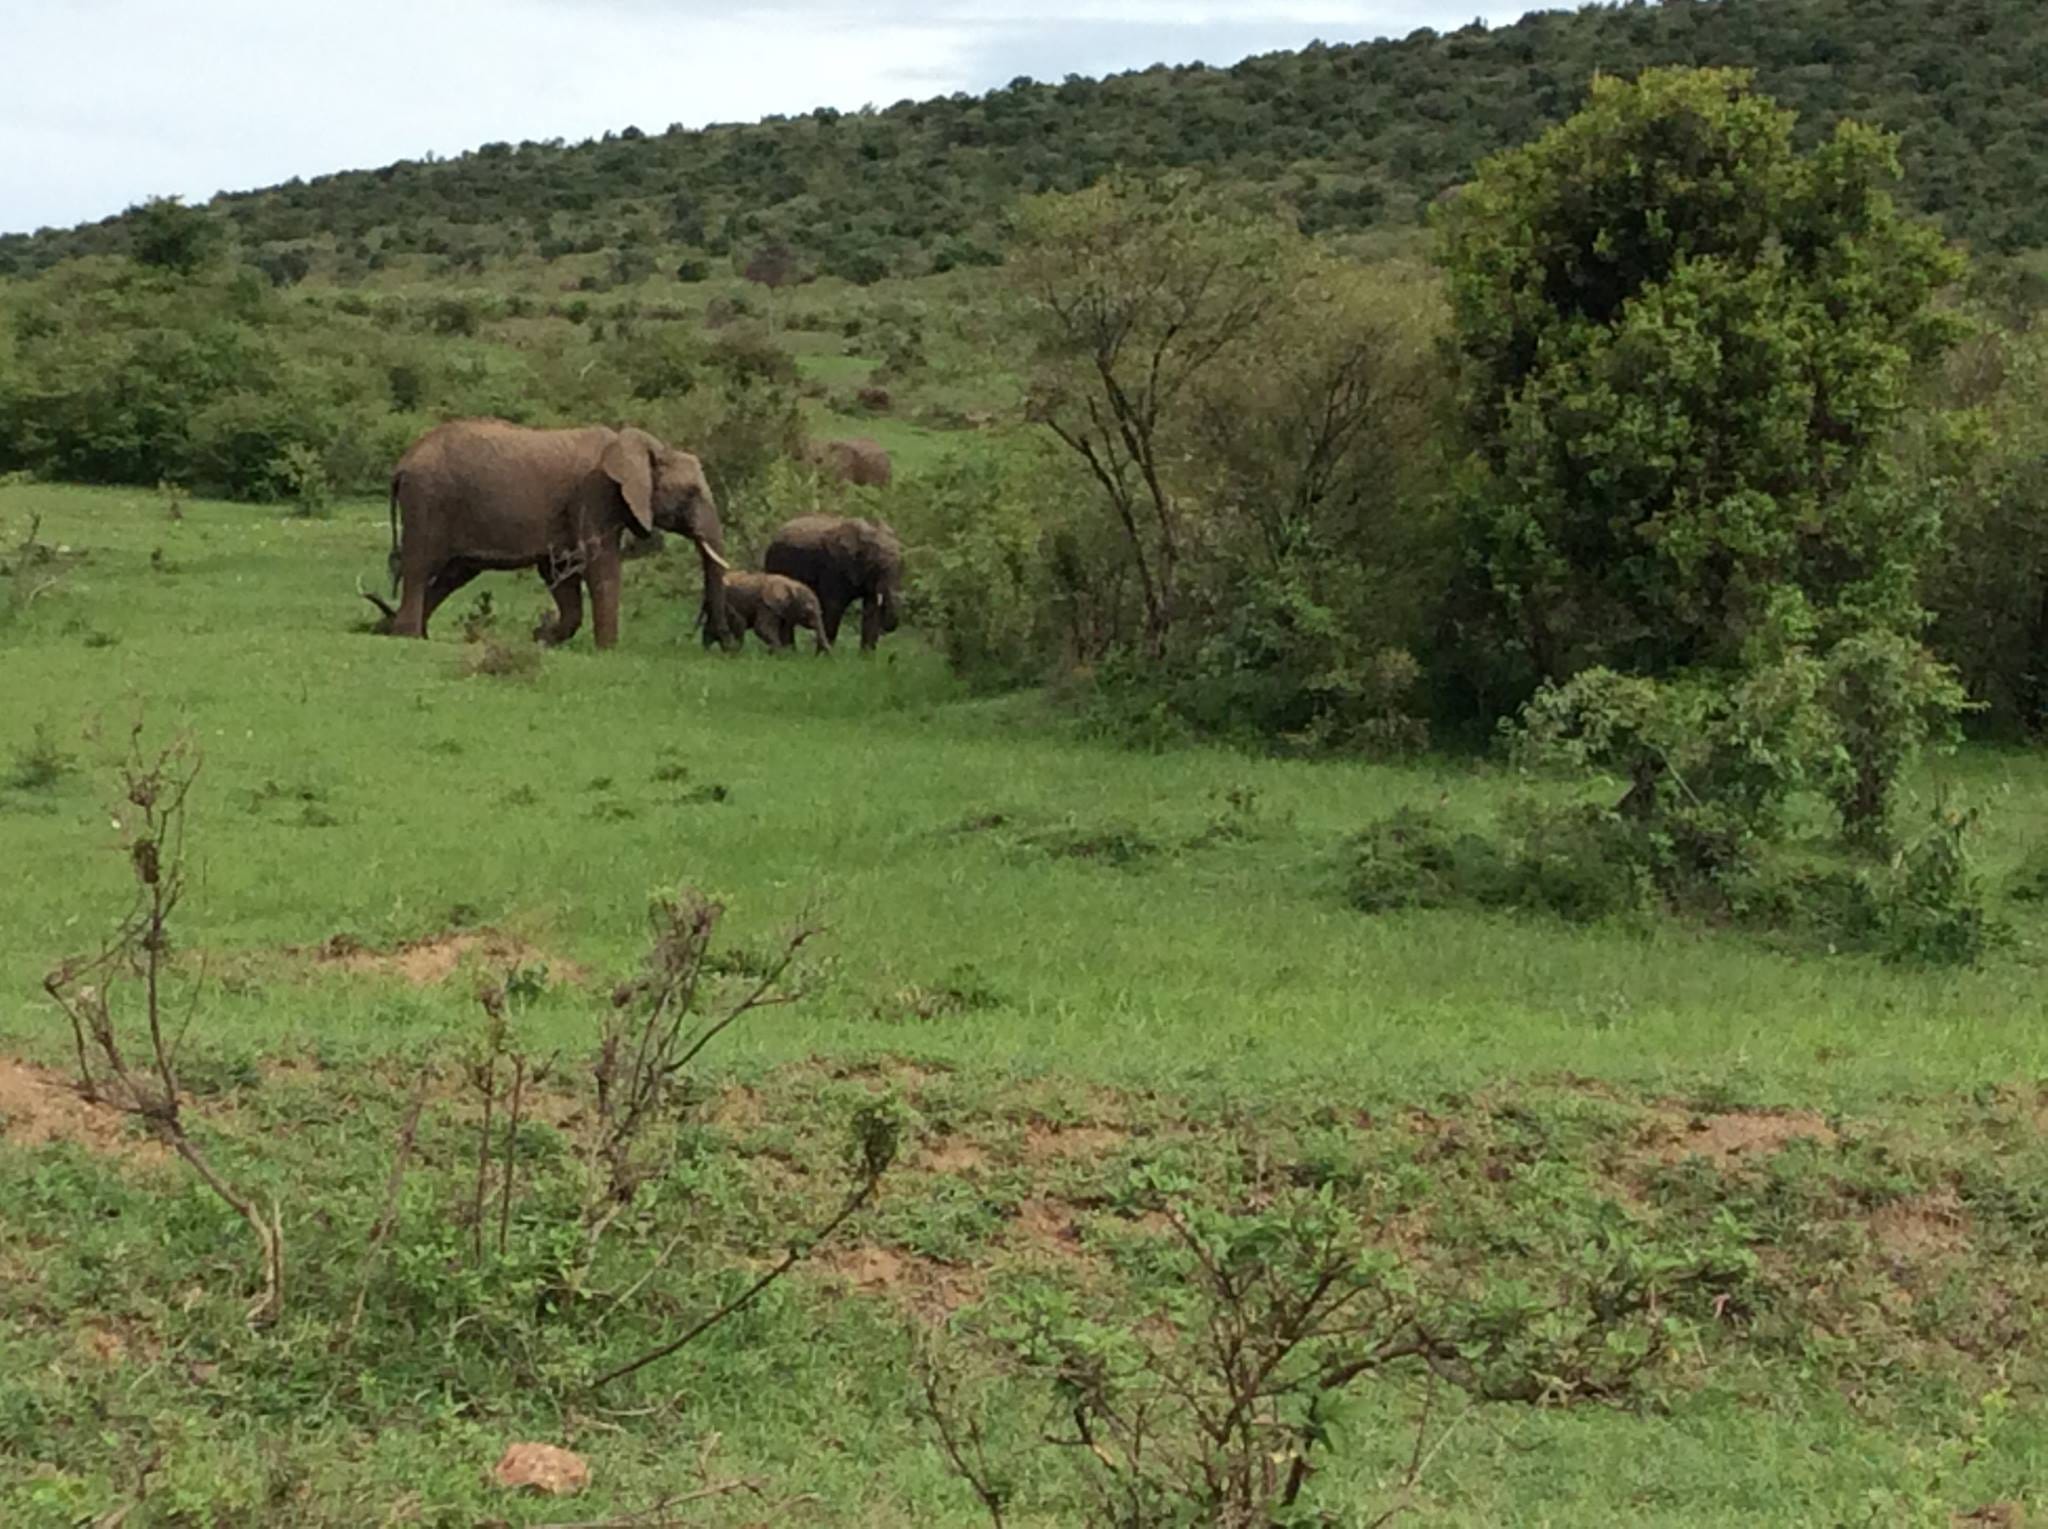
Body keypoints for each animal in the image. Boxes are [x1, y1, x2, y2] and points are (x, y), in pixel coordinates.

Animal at [359, 418, 729, 649]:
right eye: (691, 493)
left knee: (453, 575)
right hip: (428, 499)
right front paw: (608, 650)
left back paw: (396, 631)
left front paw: (541, 637)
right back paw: (406, 636)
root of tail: (403, 463)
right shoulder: (594, 494)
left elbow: (559, 571)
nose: (721, 643)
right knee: (421, 565)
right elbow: (600, 565)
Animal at [702, 570, 831, 652]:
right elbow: (761, 627)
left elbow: (783, 631)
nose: (831, 659)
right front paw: (779, 653)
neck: (790, 584)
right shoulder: (766, 605)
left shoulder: (781, 610)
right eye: (808, 609)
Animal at [762, 514, 903, 652]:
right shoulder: (833, 568)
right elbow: (834, 607)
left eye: (901, 566)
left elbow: (872, 608)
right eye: (877, 566)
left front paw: (866, 656)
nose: (886, 630)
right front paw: (824, 656)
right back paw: (789, 652)